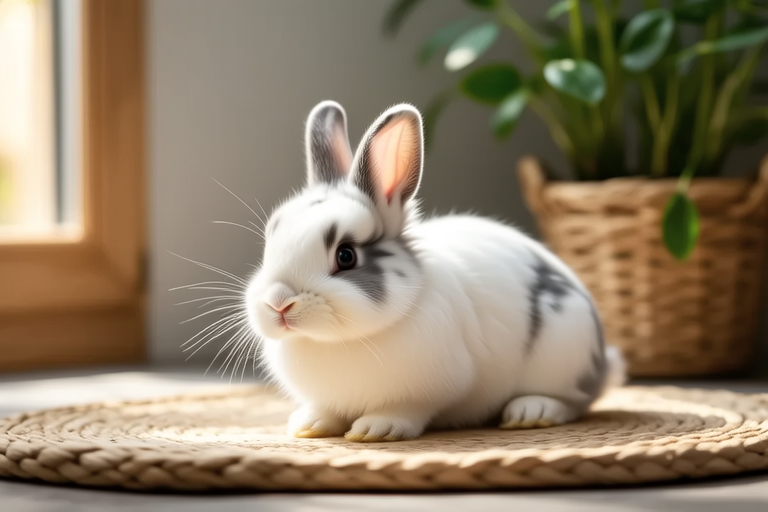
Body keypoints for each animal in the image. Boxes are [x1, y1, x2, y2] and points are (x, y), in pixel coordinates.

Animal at [244, 100, 625, 443]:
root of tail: (603, 361)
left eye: (346, 255)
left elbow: (406, 410)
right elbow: (326, 411)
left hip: (564, 354)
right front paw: (308, 425)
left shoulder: (430, 389)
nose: (279, 303)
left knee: (573, 401)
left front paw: (376, 429)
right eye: (270, 241)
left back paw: (531, 412)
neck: (335, 342)